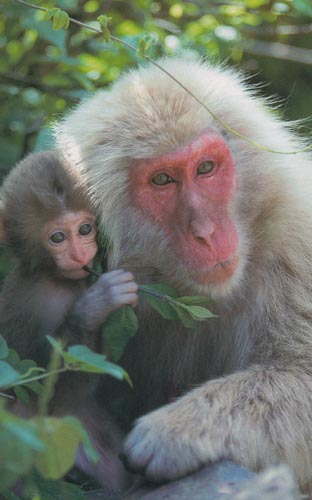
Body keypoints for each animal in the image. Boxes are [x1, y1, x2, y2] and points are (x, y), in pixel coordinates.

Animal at [0, 150, 138, 490]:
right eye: (58, 237)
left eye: (85, 230)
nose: (78, 255)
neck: (52, 277)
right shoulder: (40, 302)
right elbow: (46, 390)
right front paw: (97, 305)